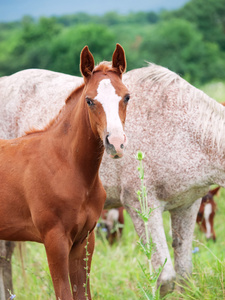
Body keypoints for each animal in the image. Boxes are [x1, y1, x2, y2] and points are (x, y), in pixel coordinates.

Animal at [0, 44, 129, 300]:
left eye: (127, 97)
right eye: (89, 100)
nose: (116, 143)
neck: (67, 166)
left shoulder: (84, 241)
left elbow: (83, 293)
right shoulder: (55, 241)